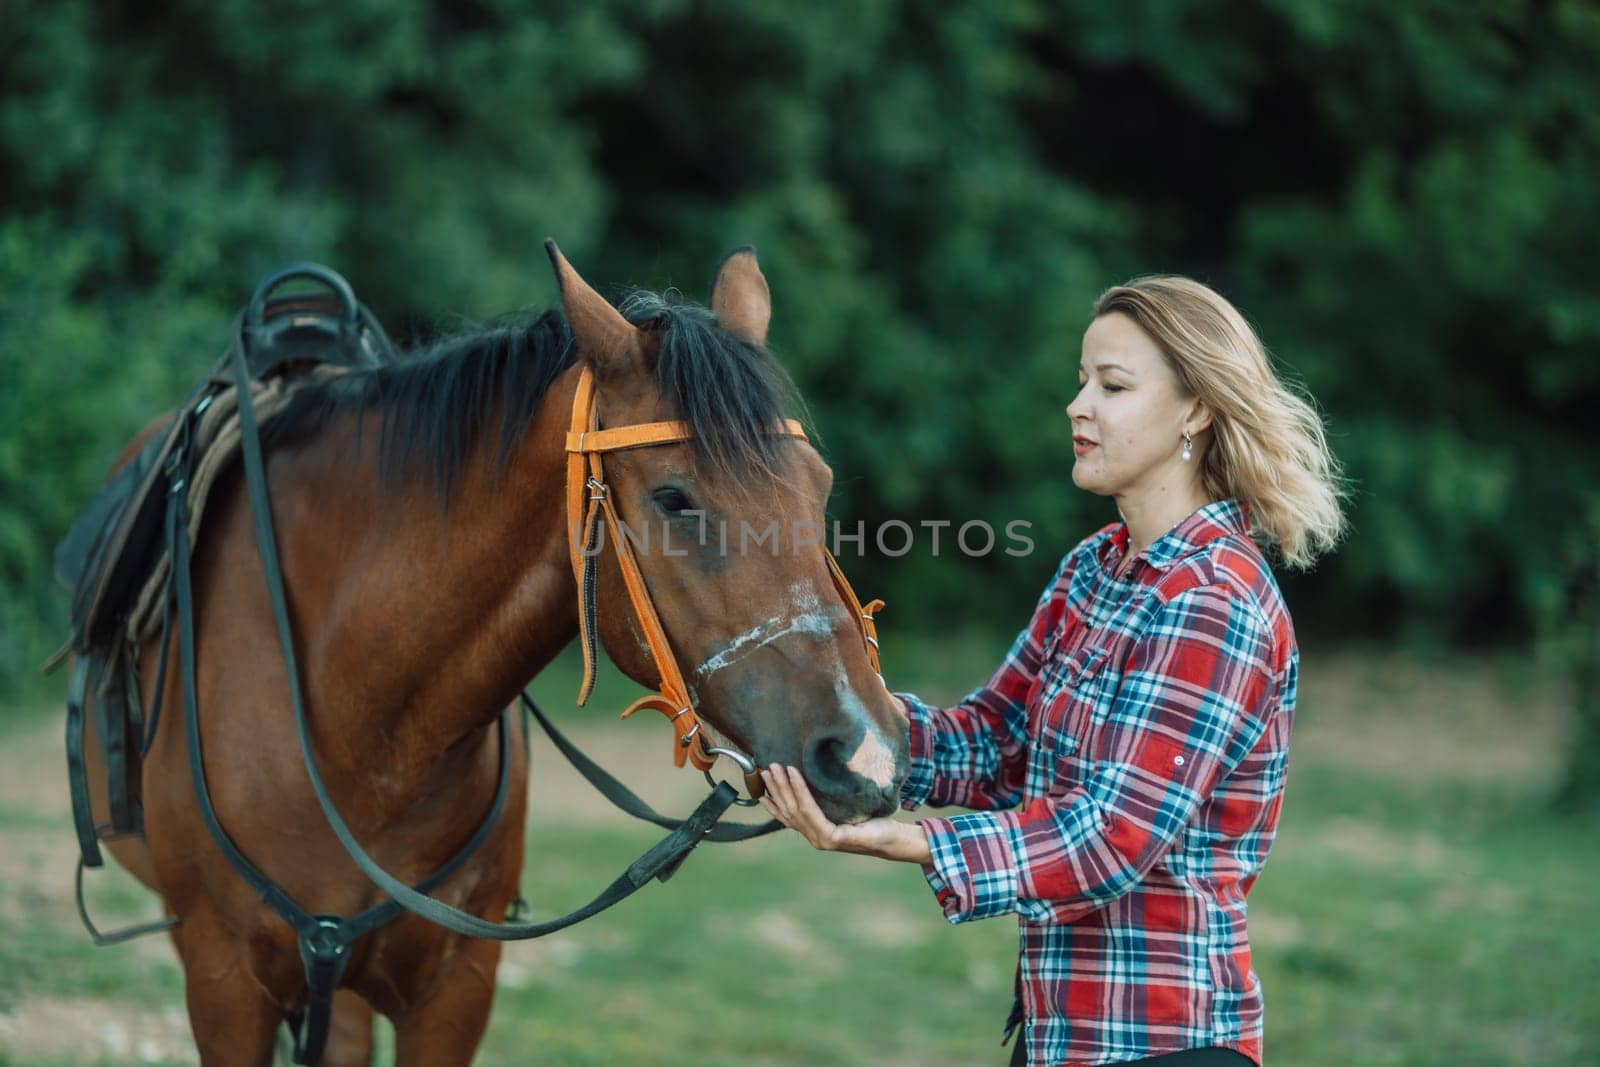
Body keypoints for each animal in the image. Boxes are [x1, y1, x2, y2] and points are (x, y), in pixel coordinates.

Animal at [78, 246, 915, 1062]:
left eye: (819, 486)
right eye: (675, 498)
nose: (866, 750)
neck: (364, 730)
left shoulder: (457, 987)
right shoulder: (223, 979)